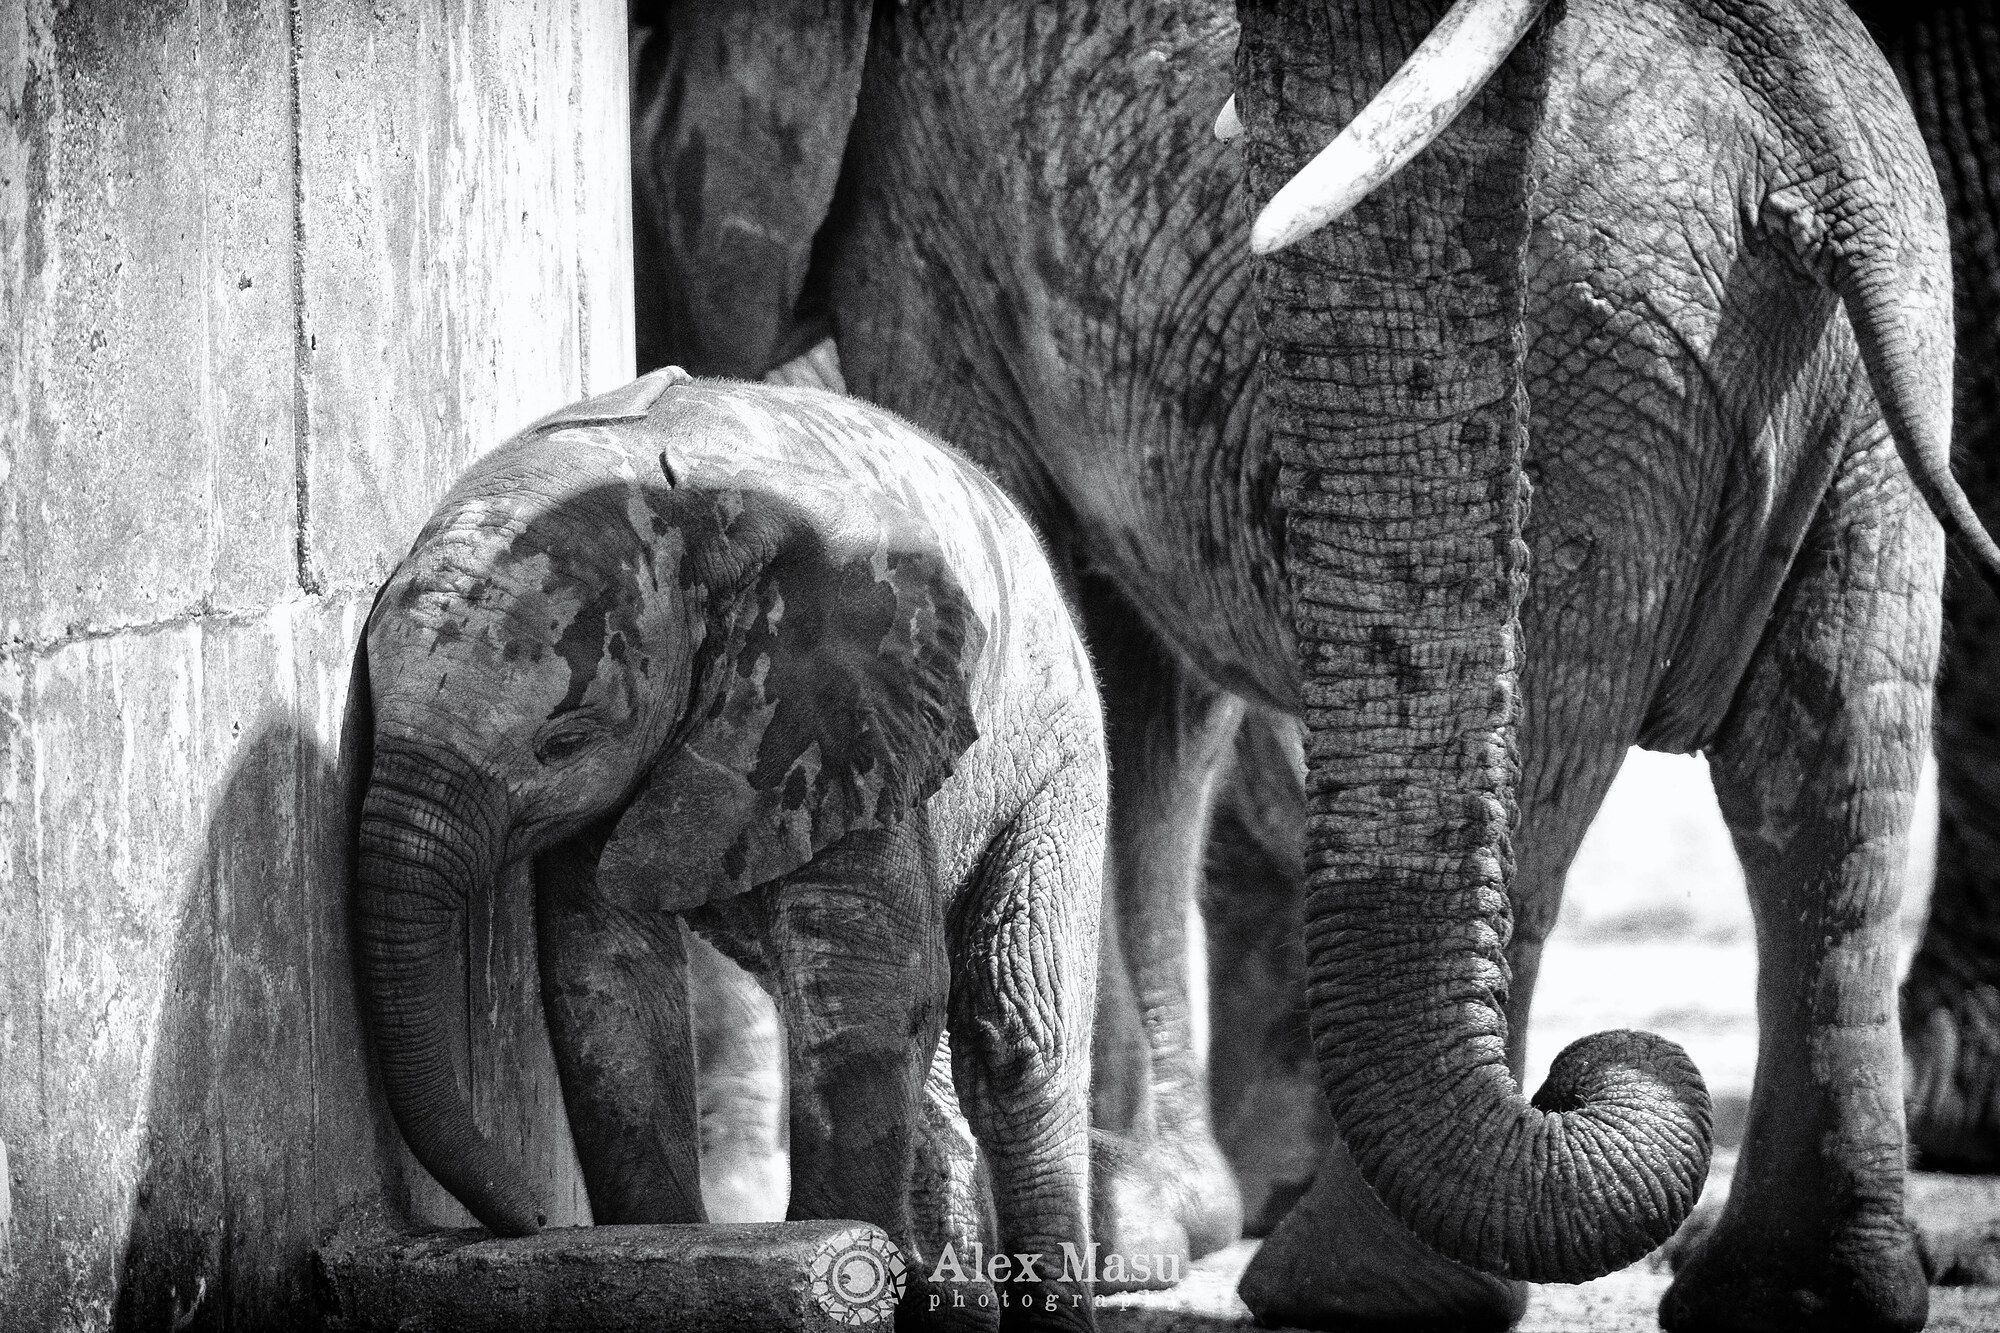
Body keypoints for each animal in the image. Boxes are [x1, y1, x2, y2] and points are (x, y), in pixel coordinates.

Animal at [350, 368, 1107, 1328]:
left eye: (565, 740)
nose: (530, 1218)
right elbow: (610, 983)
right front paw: (658, 1251)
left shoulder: (855, 704)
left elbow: (867, 979)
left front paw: (838, 1255)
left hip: (1057, 755)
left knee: (1016, 1034)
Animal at [630, 0, 2000, 1328]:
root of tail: (1804, 140)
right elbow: (1145, 698)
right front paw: (1156, 1220)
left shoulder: (922, 226)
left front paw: (1125, 1233)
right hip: (1859, 390)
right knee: (1826, 775)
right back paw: (1787, 1291)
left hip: (1598, 380)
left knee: (1556, 779)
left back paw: (1348, 1286)